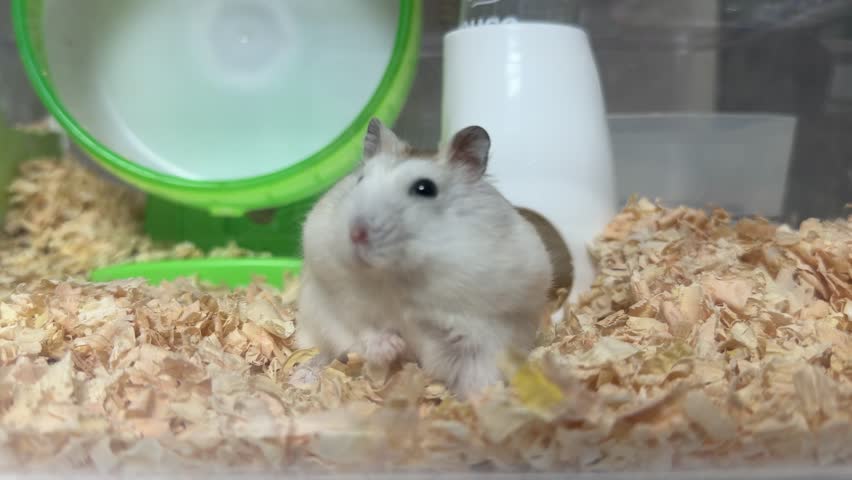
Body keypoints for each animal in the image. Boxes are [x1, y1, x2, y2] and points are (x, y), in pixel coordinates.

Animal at [293, 118, 554, 399]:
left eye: (425, 188)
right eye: (360, 180)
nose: (356, 233)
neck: (400, 274)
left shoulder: (495, 326)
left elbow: (473, 357)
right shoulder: (338, 299)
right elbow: (362, 329)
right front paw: (393, 347)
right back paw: (305, 373)